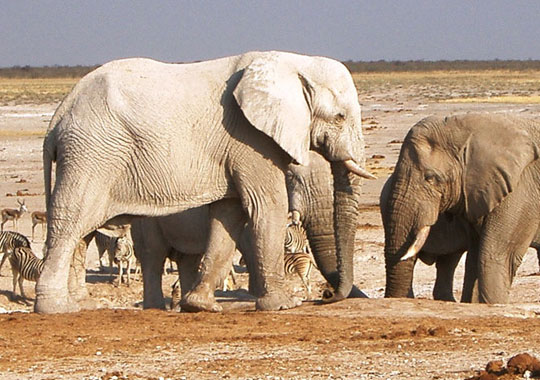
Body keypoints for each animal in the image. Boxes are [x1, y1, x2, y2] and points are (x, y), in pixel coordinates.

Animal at [35, 51, 374, 314]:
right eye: (340, 117)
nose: (326, 295)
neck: (293, 62)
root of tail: (58, 116)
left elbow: (230, 213)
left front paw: (201, 305)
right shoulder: (250, 139)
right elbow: (267, 207)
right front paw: (283, 305)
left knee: (81, 234)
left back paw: (77, 304)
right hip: (91, 153)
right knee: (73, 222)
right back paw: (55, 308)